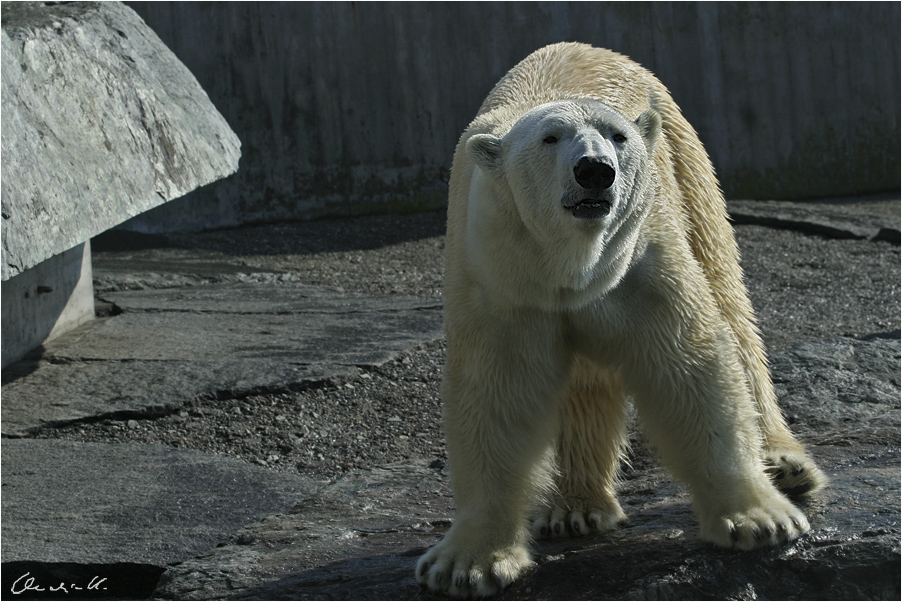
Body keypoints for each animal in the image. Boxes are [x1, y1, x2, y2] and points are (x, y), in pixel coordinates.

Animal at [416, 43, 828, 596]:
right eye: (550, 137)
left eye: (617, 136)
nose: (595, 170)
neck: (571, 266)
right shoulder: (500, 279)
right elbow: (496, 391)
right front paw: (465, 564)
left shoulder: (642, 263)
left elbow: (688, 364)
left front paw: (760, 520)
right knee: (582, 387)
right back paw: (574, 508)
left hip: (684, 163)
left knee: (732, 308)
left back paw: (786, 466)